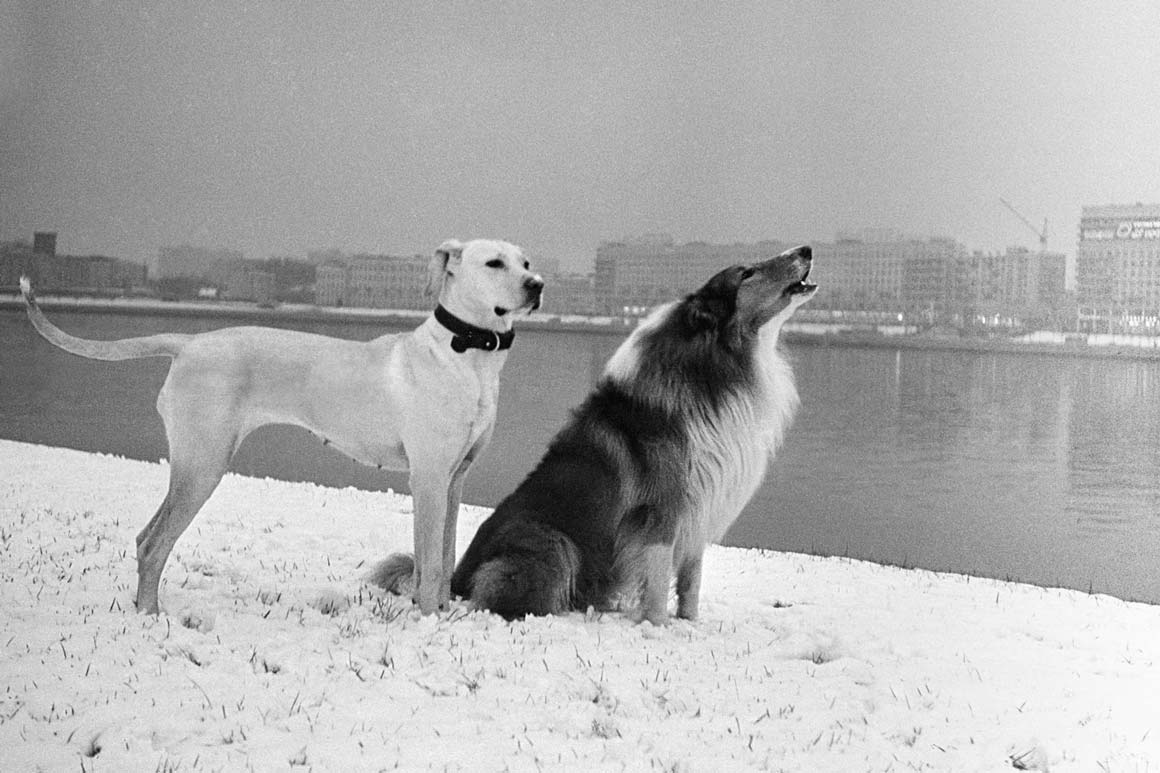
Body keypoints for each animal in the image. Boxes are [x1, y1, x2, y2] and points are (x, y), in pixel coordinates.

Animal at [19, 237, 542, 612]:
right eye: (495, 264)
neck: (465, 355)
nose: (537, 285)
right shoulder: (428, 478)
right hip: (203, 463)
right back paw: (150, 617)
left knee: (146, 537)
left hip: (195, 464)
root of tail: (188, 342)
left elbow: (447, 553)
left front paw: (445, 614)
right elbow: (430, 564)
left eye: (526, 261)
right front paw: (428, 620)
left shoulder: (455, 479)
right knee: (154, 544)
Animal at [380, 243, 816, 622]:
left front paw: (690, 625)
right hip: (555, 543)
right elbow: (659, 581)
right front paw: (658, 628)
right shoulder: (663, 509)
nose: (806, 250)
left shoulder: (701, 509)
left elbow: (690, 582)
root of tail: (458, 575)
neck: (715, 366)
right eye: (747, 273)